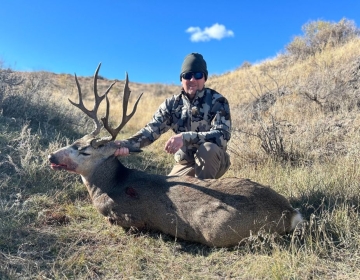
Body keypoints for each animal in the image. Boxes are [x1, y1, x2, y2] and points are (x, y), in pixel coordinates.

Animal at [47, 64, 300, 247]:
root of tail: (290, 212)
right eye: (73, 142)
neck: (110, 185)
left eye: (84, 151)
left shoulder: (130, 216)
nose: (51, 157)